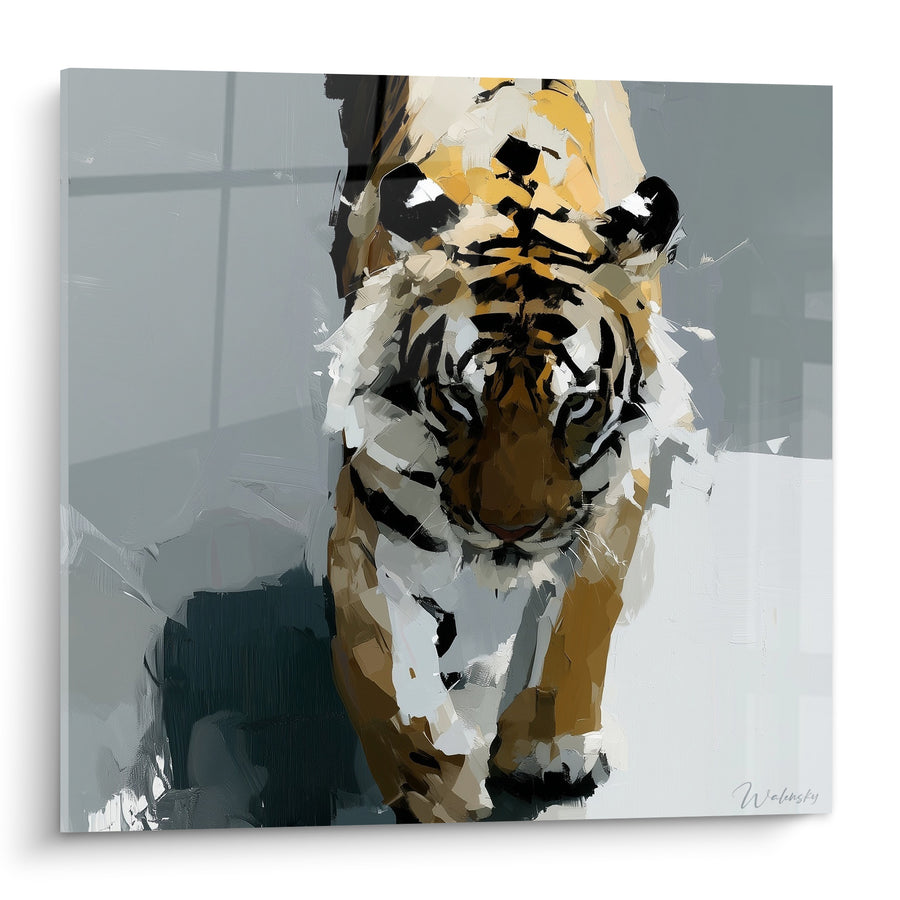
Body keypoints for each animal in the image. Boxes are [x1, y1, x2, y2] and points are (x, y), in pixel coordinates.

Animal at [320, 75, 694, 823]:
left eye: (576, 406)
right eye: (459, 398)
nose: (510, 531)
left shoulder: (615, 491)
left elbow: (580, 621)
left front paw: (549, 752)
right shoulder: (371, 514)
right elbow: (395, 684)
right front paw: (442, 796)